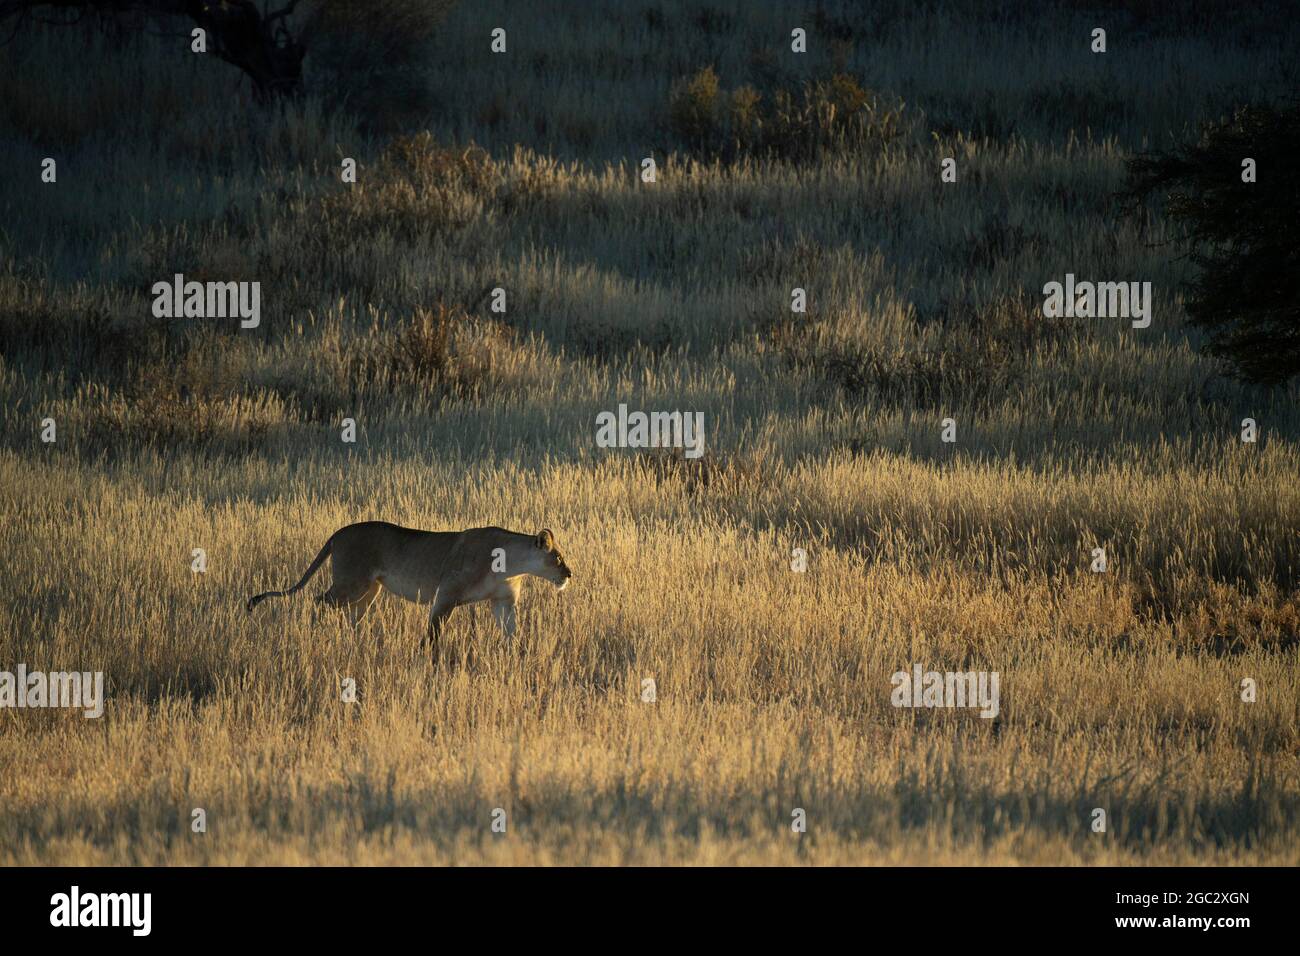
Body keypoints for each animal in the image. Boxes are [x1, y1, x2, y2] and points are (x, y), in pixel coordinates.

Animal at [246, 522, 572, 646]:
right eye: (557, 557)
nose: (569, 574)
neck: (512, 566)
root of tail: (338, 533)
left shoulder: (502, 602)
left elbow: (511, 632)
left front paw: (516, 654)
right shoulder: (446, 594)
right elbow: (433, 633)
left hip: (370, 589)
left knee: (352, 615)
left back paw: (356, 642)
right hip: (351, 582)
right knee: (318, 601)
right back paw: (315, 634)